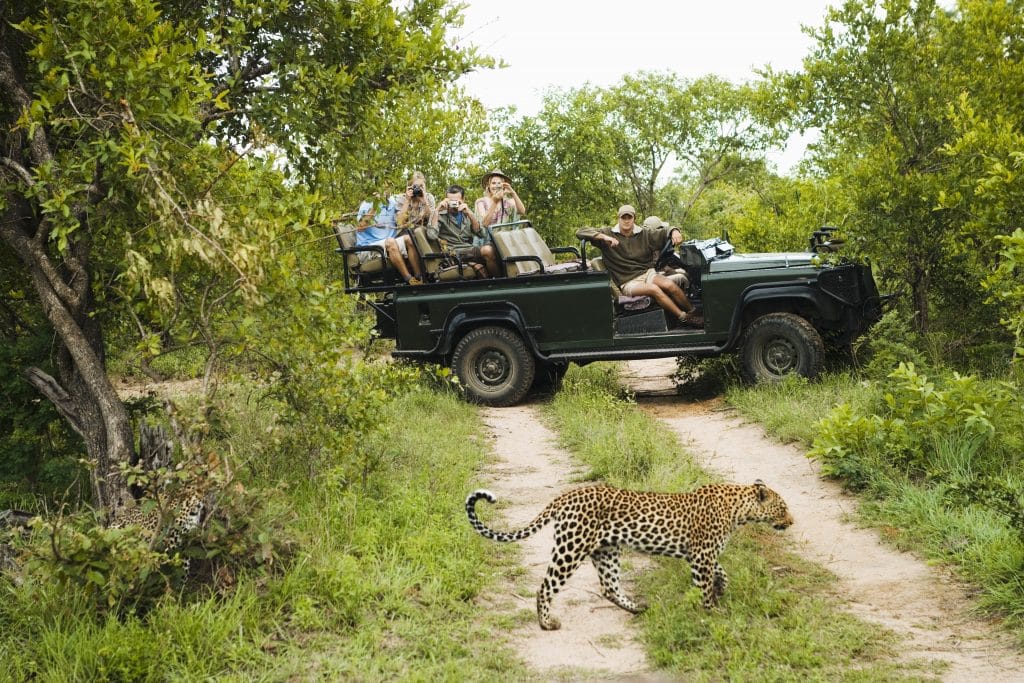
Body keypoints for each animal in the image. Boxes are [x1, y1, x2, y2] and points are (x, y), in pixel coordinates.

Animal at [465, 480, 793, 630]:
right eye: (783, 508)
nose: (791, 521)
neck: (739, 511)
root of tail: (564, 496)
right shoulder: (701, 556)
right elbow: (705, 587)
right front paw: (712, 612)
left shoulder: (700, 555)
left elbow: (721, 571)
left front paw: (721, 588)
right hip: (571, 547)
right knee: (545, 587)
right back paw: (547, 623)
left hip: (606, 550)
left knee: (609, 586)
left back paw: (637, 608)